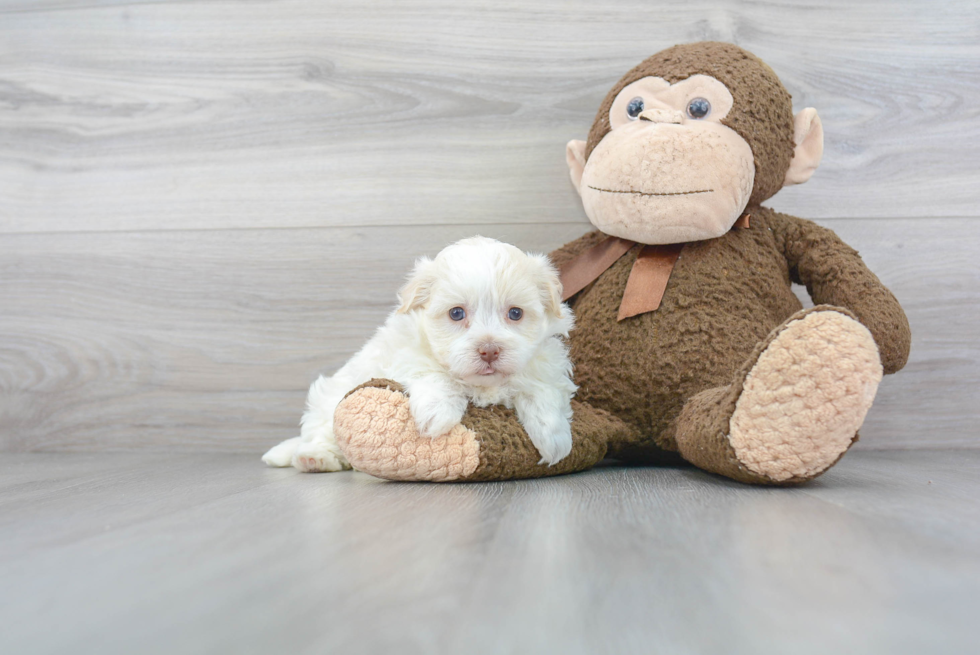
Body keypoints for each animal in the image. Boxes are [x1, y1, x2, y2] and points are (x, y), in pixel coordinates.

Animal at [264, 236, 580, 472]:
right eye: (456, 313)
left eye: (515, 313)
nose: (489, 350)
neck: (482, 386)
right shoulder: (404, 354)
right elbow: (435, 373)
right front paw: (437, 413)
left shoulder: (547, 364)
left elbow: (541, 390)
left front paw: (554, 438)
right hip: (329, 400)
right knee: (321, 433)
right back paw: (314, 458)